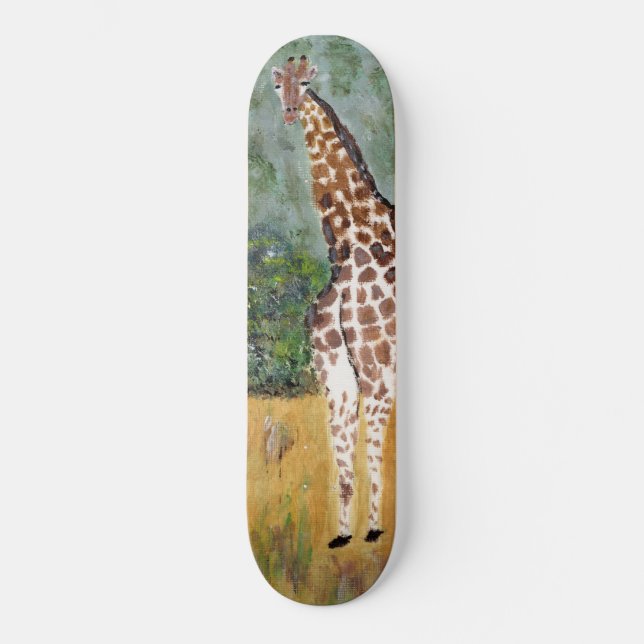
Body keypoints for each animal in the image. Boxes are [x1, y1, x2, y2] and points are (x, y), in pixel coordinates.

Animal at [272, 56, 396, 549]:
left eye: (306, 83)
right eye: (278, 85)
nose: (289, 113)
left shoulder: (379, 372)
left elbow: (372, 455)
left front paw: (374, 529)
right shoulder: (336, 375)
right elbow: (343, 461)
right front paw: (343, 534)